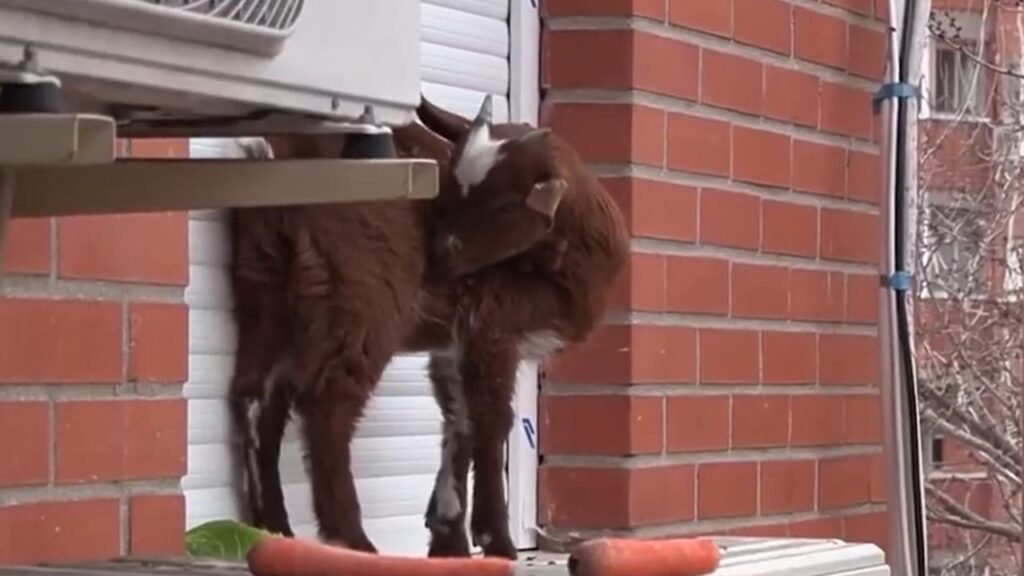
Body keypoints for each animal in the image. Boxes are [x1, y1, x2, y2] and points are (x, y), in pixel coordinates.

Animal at [228, 96, 630, 560]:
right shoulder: (491, 325)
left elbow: (458, 420)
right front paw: (496, 541)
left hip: (264, 278)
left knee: (255, 395)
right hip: (366, 292)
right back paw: (352, 540)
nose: (439, 256)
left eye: (506, 206)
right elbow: (492, 421)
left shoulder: (454, 345)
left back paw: (271, 528)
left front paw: (448, 537)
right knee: (328, 401)